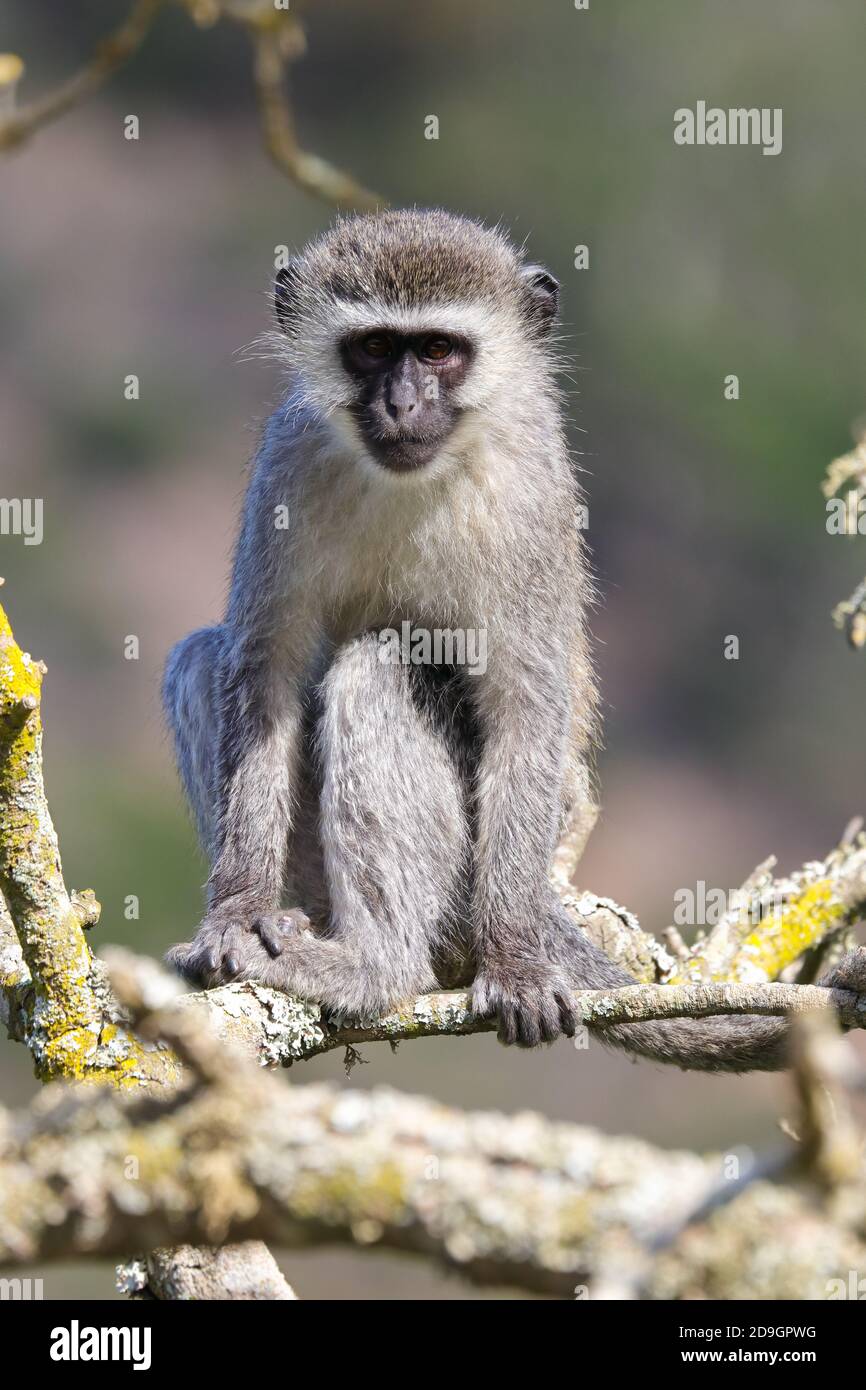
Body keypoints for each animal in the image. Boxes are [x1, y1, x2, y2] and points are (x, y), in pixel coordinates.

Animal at [166, 208, 861, 1061]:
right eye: (375, 347)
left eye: (438, 349)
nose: (402, 405)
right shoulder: (287, 465)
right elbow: (265, 673)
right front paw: (235, 914)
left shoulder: (530, 493)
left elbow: (525, 707)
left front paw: (516, 967)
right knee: (205, 658)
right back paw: (296, 924)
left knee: (383, 665)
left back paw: (378, 970)